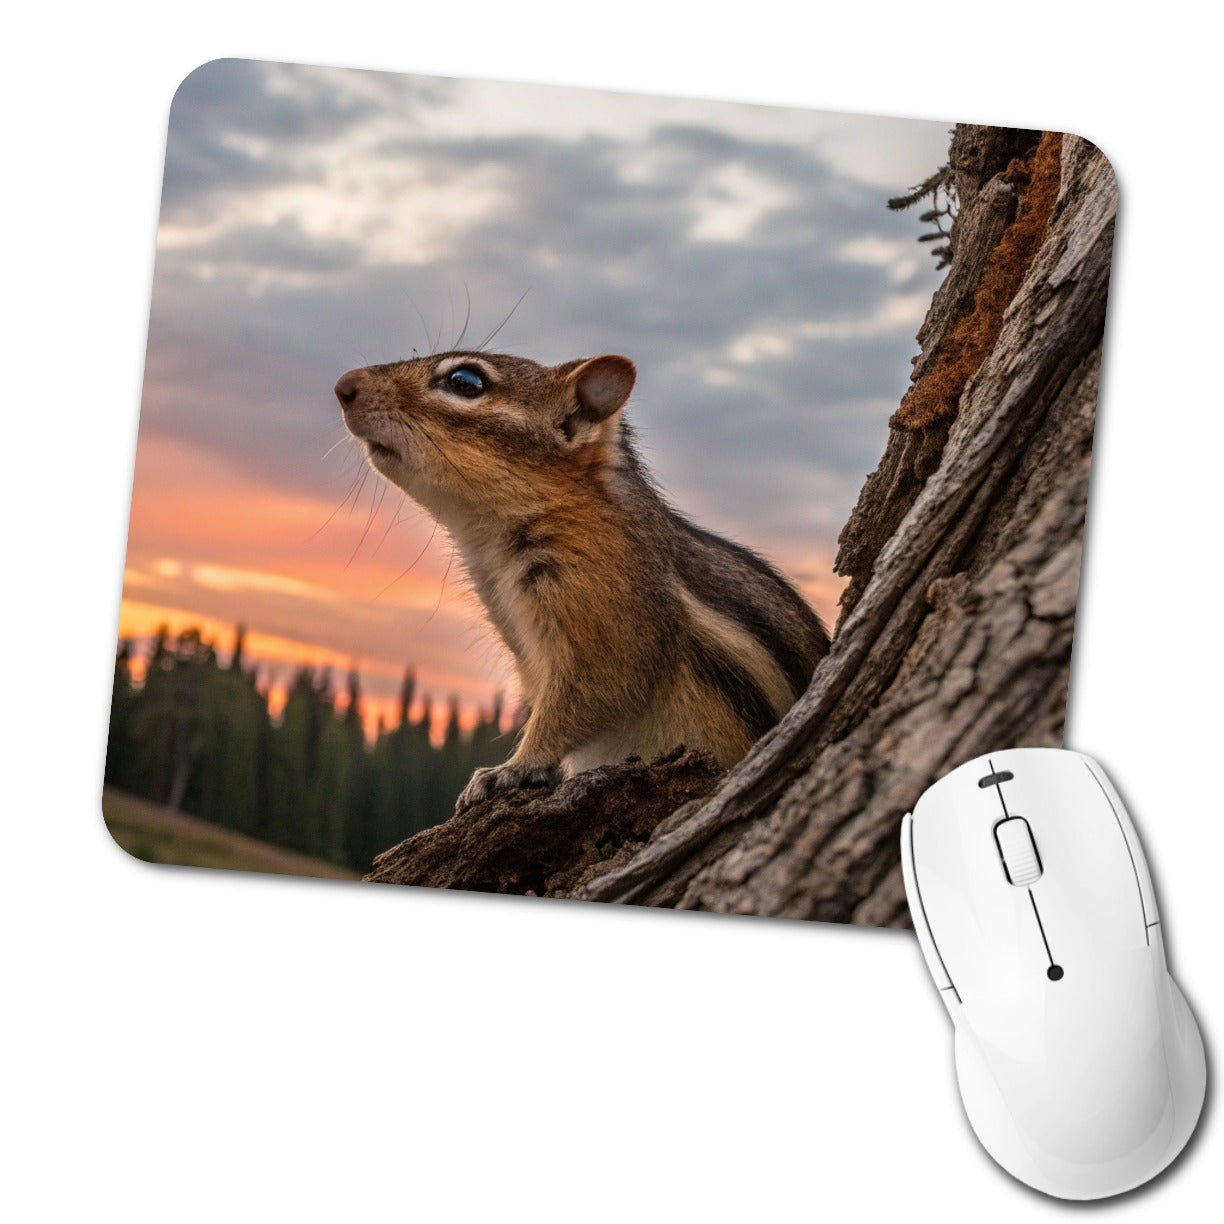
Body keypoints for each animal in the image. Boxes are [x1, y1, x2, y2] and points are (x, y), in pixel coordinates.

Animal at [335, 350, 829, 812]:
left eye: (465, 381)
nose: (344, 385)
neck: (489, 545)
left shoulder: (605, 611)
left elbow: (586, 698)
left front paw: (512, 769)